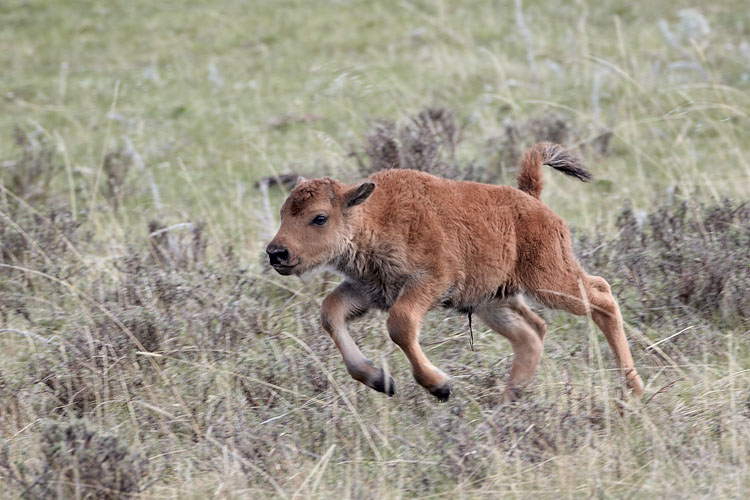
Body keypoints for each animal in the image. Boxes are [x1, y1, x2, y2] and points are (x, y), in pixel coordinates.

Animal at [266, 143, 644, 402]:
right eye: (283, 212)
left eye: (319, 217)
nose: (276, 253)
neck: (372, 216)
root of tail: (531, 199)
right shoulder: (369, 290)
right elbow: (330, 313)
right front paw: (379, 380)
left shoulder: (428, 283)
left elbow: (400, 325)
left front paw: (440, 386)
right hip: (493, 300)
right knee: (531, 333)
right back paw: (509, 401)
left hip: (550, 282)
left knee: (602, 298)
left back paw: (634, 388)